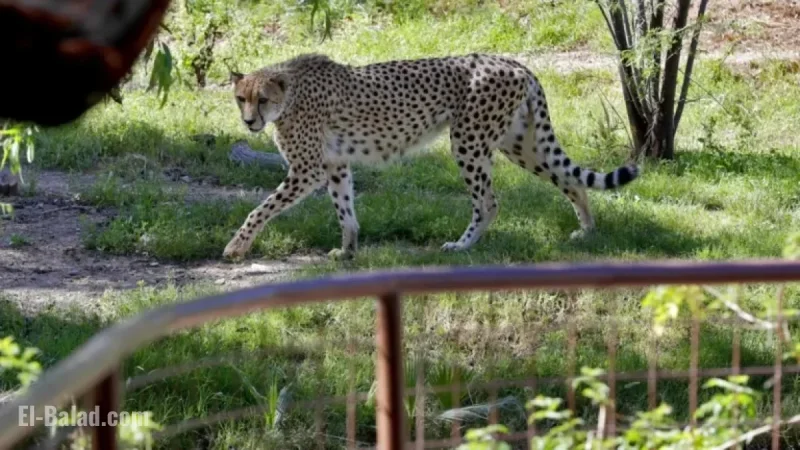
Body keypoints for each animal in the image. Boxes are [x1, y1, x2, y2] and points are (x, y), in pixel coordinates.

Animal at [223, 53, 639, 260]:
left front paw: (235, 248)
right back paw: (587, 230)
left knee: (488, 201)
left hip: (468, 140)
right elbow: (345, 209)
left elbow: (260, 209)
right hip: (519, 143)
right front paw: (348, 250)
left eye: (262, 99)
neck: (289, 94)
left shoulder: (307, 169)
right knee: (570, 179)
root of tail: (512, 61)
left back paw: (462, 245)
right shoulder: (335, 164)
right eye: (241, 98)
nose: (248, 121)